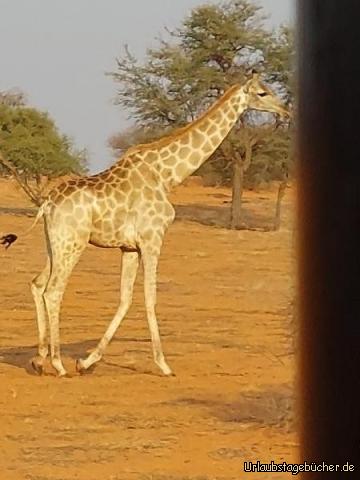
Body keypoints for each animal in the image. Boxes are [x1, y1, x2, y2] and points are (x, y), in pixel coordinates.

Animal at [0, 73, 286, 376]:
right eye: (262, 93)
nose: (285, 111)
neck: (168, 175)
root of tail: (47, 204)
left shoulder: (129, 247)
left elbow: (125, 298)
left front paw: (87, 361)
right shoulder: (152, 238)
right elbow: (150, 296)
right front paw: (164, 365)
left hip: (54, 244)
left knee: (37, 283)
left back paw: (39, 359)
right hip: (73, 244)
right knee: (53, 290)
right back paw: (57, 363)